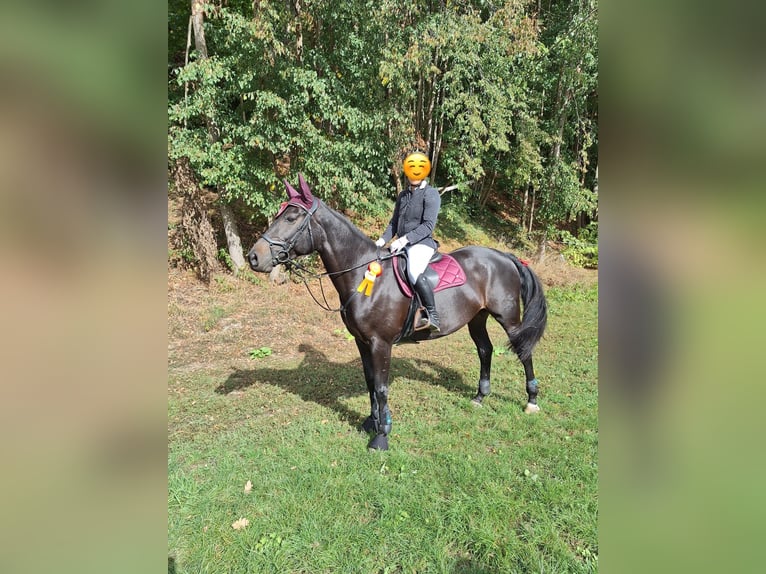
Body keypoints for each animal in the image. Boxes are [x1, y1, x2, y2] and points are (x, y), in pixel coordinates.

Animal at [249, 173, 548, 452]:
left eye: (291, 217)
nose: (254, 257)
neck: (362, 275)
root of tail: (504, 256)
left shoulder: (381, 343)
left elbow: (382, 387)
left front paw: (382, 435)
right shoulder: (362, 342)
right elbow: (370, 381)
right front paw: (371, 422)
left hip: (508, 318)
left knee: (524, 352)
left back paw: (531, 401)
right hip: (477, 318)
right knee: (485, 350)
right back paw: (479, 397)